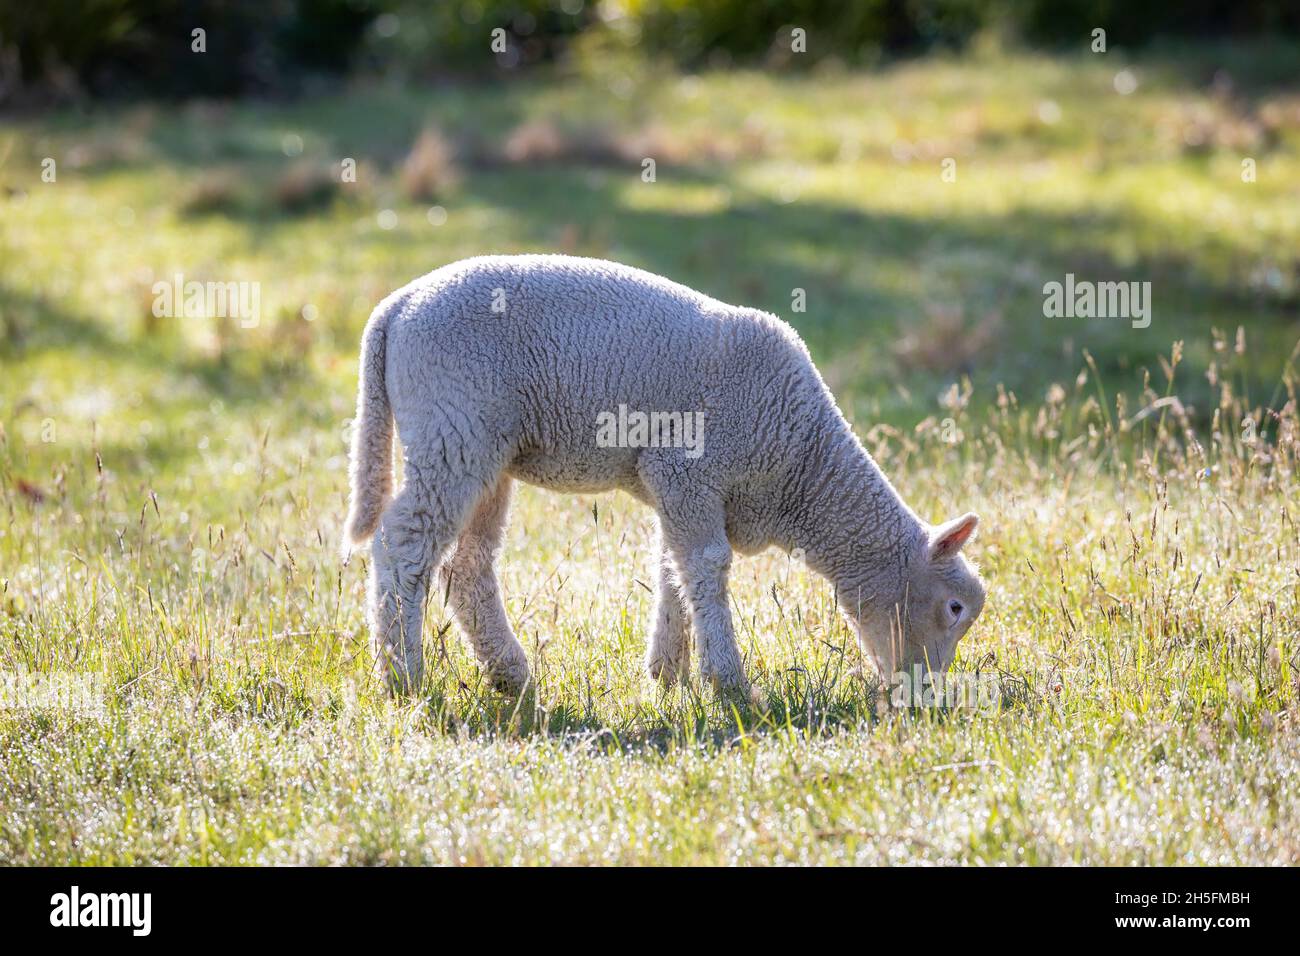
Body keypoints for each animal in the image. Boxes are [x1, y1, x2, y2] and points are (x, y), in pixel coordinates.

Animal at [344, 254, 986, 697]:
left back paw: (511, 674)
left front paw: (666, 674)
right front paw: (729, 684)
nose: (925, 697)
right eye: (954, 609)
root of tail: (395, 307)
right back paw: (404, 676)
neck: (802, 466)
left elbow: (674, 571)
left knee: (468, 566)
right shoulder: (689, 469)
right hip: (454, 426)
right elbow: (707, 566)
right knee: (404, 543)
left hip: (485, 450)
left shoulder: (677, 488)